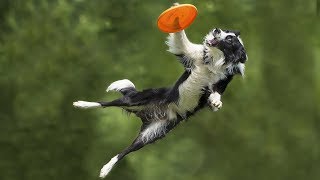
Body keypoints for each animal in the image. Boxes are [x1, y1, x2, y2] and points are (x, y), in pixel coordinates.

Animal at [73, 27, 248, 177]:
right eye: (225, 30)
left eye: (230, 39)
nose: (216, 30)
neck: (214, 62)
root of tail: (150, 112)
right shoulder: (190, 54)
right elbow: (180, 40)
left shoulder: (220, 84)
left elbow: (215, 94)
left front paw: (216, 103)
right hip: (133, 100)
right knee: (104, 103)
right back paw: (81, 104)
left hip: (150, 135)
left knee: (125, 151)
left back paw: (105, 169)